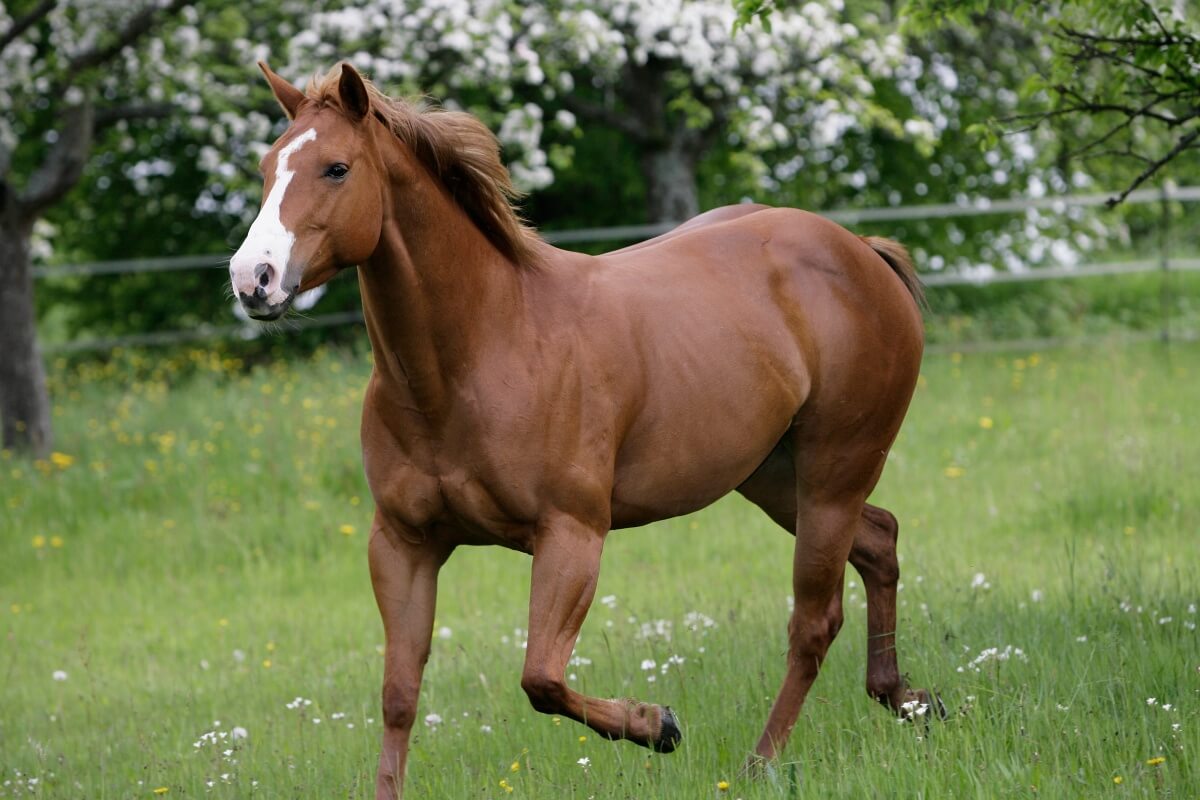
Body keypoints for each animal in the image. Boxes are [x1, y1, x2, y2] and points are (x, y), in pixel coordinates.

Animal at [230, 61, 937, 799]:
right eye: (267, 167)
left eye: (336, 168)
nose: (252, 280)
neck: (480, 352)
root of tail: (862, 252)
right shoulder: (404, 544)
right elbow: (399, 695)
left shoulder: (571, 535)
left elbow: (540, 678)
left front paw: (659, 724)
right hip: (775, 477)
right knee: (879, 542)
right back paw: (909, 700)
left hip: (833, 472)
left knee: (814, 621)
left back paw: (761, 762)